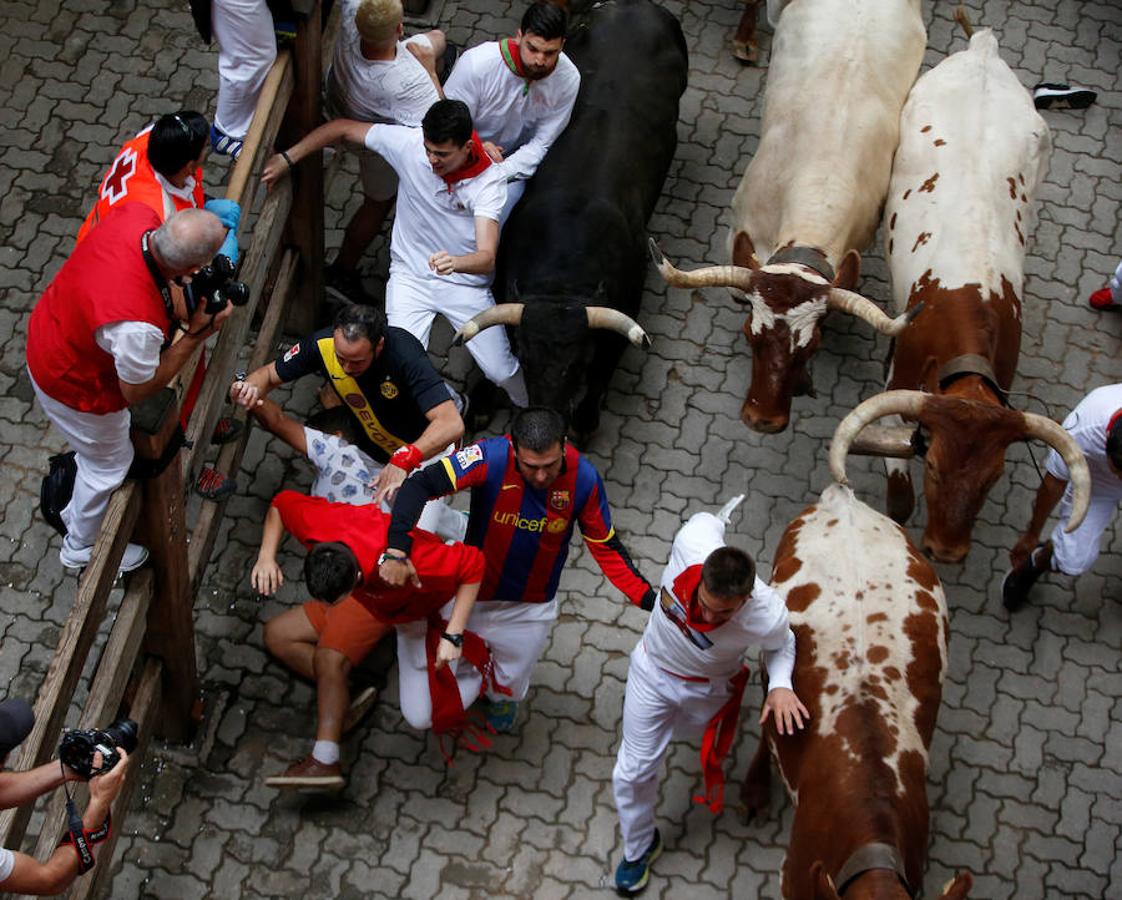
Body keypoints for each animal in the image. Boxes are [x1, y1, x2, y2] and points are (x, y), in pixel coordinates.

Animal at [482, 0, 682, 437]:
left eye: (578, 362)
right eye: (525, 354)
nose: (546, 418)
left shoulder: (624, 317)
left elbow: (603, 374)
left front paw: (587, 421)